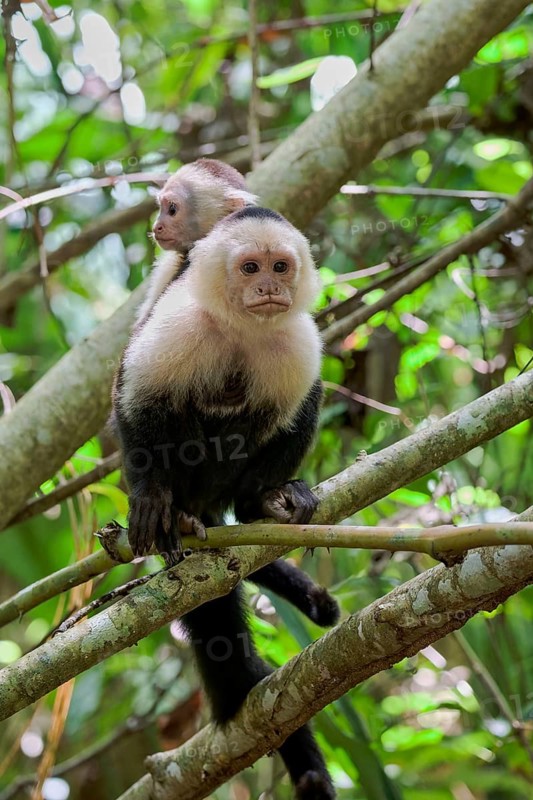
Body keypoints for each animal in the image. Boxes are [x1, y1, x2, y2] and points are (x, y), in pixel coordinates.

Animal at [113, 207, 336, 799]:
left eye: (281, 267)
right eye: (250, 267)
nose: (269, 288)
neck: (241, 329)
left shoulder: (297, 340)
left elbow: (297, 402)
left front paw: (266, 496)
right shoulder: (178, 325)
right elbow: (135, 398)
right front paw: (152, 498)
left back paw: (258, 507)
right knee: (176, 409)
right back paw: (179, 513)